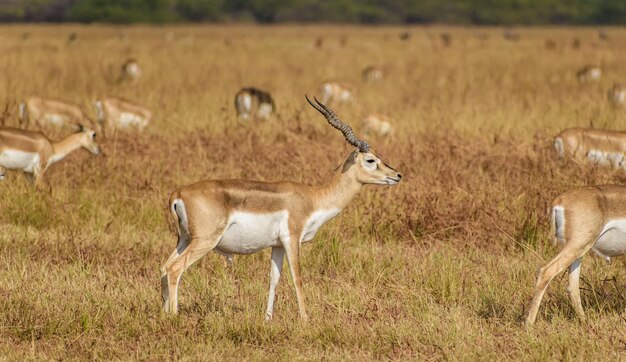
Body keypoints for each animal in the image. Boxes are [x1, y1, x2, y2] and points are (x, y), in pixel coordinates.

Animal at [161, 96, 402, 320]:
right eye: (370, 160)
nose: (397, 175)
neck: (314, 198)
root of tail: (178, 193)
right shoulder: (292, 239)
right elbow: (297, 277)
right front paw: (305, 319)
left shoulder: (276, 245)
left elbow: (273, 279)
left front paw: (268, 318)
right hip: (205, 241)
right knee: (174, 270)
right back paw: (174, 315)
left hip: (184, 240)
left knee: (164, 267)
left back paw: (163, 314)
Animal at [528, 185, 626, 326]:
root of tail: (559, 201)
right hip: (578, 245)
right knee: (546, 272)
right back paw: (528, 325)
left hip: (578, 252)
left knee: (572, 286)